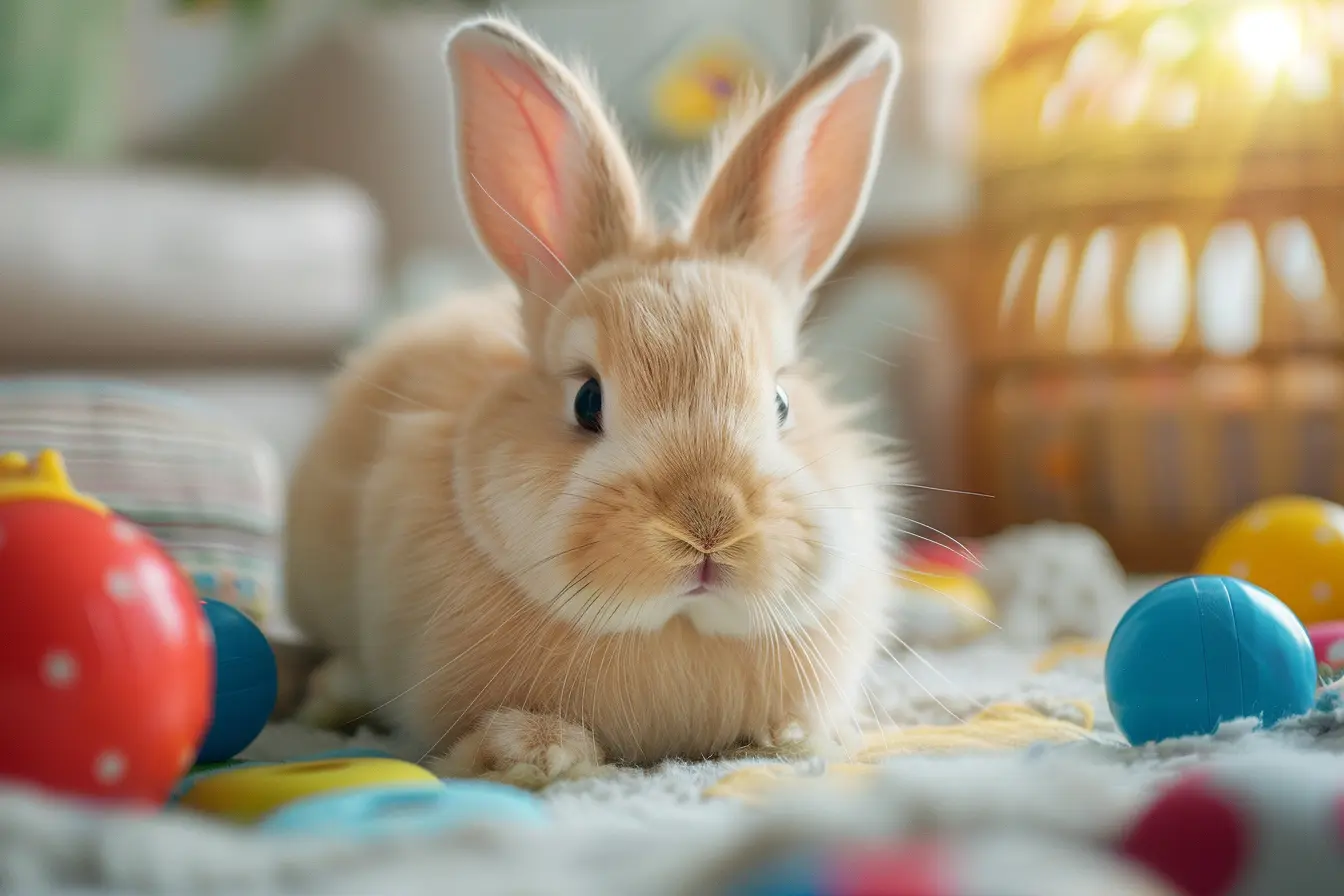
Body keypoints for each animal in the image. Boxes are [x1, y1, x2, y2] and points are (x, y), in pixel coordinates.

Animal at [284, 15, 906, 784]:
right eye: (587, 400)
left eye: (783, 403)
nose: (708, 525)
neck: (675, 628)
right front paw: (535, 754)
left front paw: (794, 738)